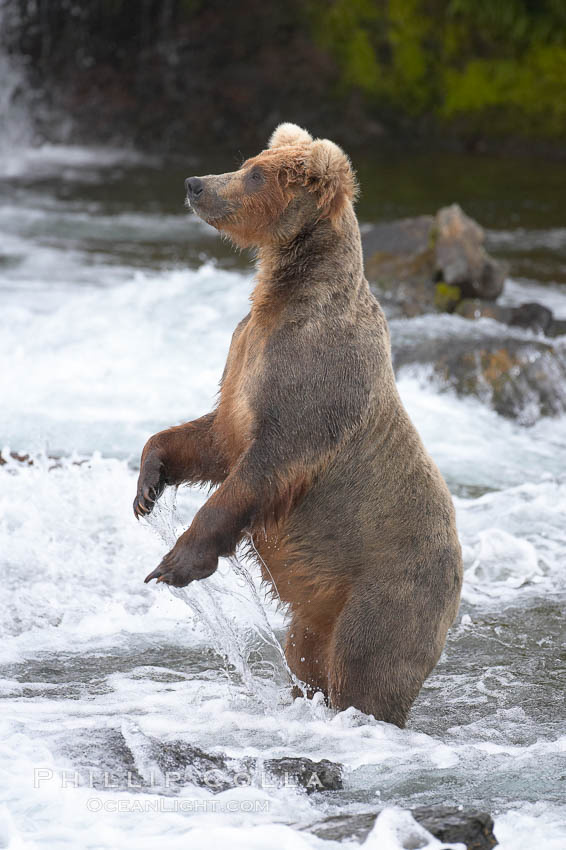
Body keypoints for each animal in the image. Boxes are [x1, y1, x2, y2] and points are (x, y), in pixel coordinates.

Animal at [135, 122, 464, 724]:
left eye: (254, 174)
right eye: (247, 161)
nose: (195, 183)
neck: (285, 293)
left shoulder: (314, 378)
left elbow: (265, 464)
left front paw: (174, 563)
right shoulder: (245, 361)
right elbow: (214, 437)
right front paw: (148, 485)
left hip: (389, 587)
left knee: (365, 664)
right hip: (316, 612)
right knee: (305, 655)